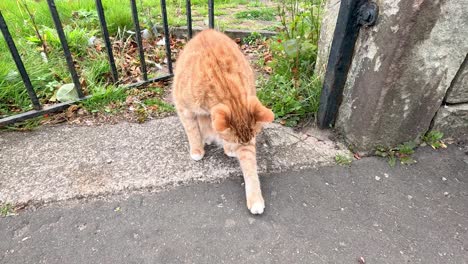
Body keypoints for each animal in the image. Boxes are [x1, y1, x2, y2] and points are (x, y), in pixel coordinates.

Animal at [172, 29, 274, 214]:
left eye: (244, 142)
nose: (235, 146)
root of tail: (207, 31)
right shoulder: (184, 108)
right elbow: (192, 131)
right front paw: (197, 150)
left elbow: (249, 166)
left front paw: (255, 198)